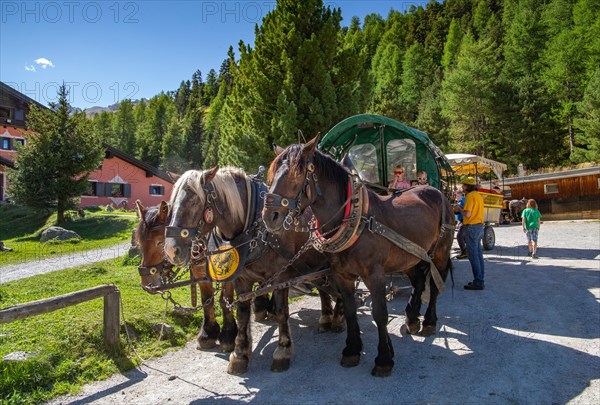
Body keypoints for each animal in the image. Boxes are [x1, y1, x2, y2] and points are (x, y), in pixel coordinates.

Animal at [135, 201, 238, 350]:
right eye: (140, 241)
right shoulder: (199, 272)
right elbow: (207, 301)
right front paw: (208, 333)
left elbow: (226, 300)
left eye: (160, 242)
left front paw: (229, 334)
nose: (146, 283)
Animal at [162, 166, 344, 372]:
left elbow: (282, 311)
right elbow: (242, 313)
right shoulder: (241, 278)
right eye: (171, 203)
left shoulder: (280, 278)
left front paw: (283, 350)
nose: (171, 250)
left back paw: (338, 318)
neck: (254, 227)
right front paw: (239, 353)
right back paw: (326, 318)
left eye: (194, 201)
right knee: (323, 289)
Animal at [262, 135, 454, 376]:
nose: (269, 216)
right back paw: (411, 319)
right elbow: (351, 310)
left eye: (296, 174)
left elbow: (380, 314)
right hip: (410, 255)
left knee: (435, 284)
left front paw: (384, 359)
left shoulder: (375, 275)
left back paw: (428, 322)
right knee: (419, 282)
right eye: (271, 175)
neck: (354, 219)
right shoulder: (342, 275)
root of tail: (436, 192)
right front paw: (352, 350)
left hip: (440, 252)